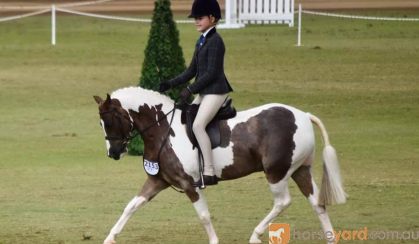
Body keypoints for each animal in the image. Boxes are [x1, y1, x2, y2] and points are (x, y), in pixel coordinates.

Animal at [95, 87, 348, 244]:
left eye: (110, 120)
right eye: (101, 123)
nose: (113, 153)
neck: (163, 130)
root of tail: (303, 116)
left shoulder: (189, 184)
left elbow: (204, 215)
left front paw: (214, 240)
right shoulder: (158, 180)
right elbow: (131, 206)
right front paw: (110, 237)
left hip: (276, 172)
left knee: (283, 201)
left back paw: (256, 235)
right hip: (299, 171)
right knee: (317, 204)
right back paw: (330, 237)